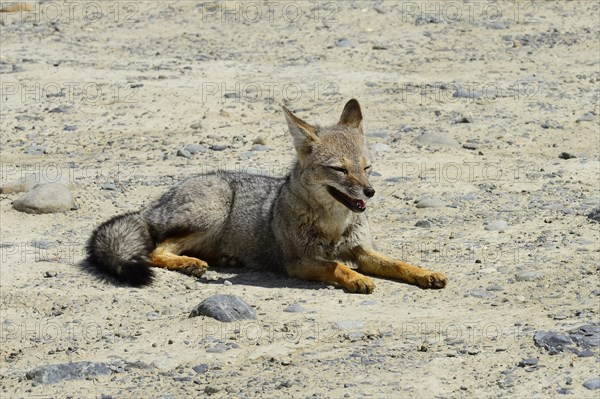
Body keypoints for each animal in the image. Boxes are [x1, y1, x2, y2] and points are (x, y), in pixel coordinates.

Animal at [86, 100, 448, 294]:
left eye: (367, 167)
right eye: (340, 170)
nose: (370, 192)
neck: (334, 225)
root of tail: (152, 205)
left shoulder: (363, 250)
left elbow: (398, 263)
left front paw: (425, 273)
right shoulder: (299, 262)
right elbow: (335, 266)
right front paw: (357, 278)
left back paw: (224, 259)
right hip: (212, 212)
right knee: (158, 250)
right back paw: (190, 263)